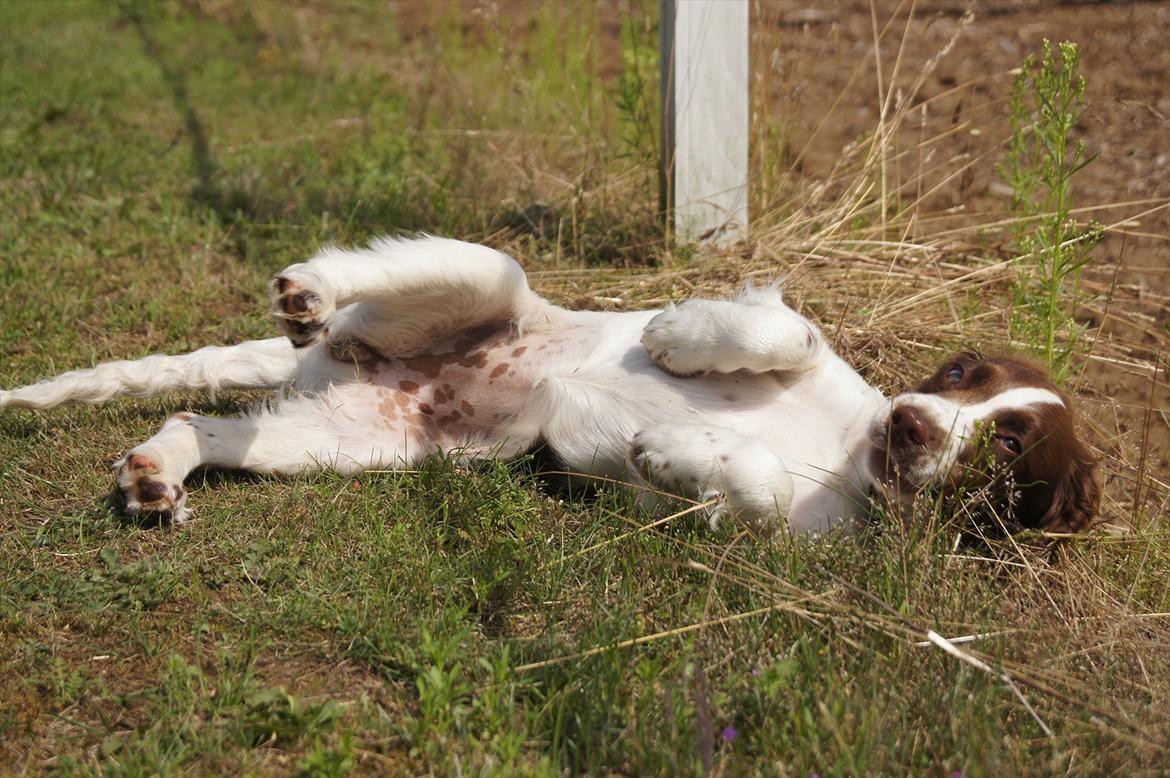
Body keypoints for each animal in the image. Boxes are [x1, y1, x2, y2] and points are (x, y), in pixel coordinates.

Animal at [0, 233, 1095, 531]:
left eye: (1008, 447)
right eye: (960, 373)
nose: (914, 425)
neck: (848, 453)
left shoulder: (761, 537)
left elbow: (746, 487)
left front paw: (675, 449)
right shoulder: (812, 345)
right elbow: (788, 326)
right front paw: (676, 335)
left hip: (352, 440)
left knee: (206, 419)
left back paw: (157, 474)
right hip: (484, 278)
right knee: (353, 268)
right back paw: (310, 290)